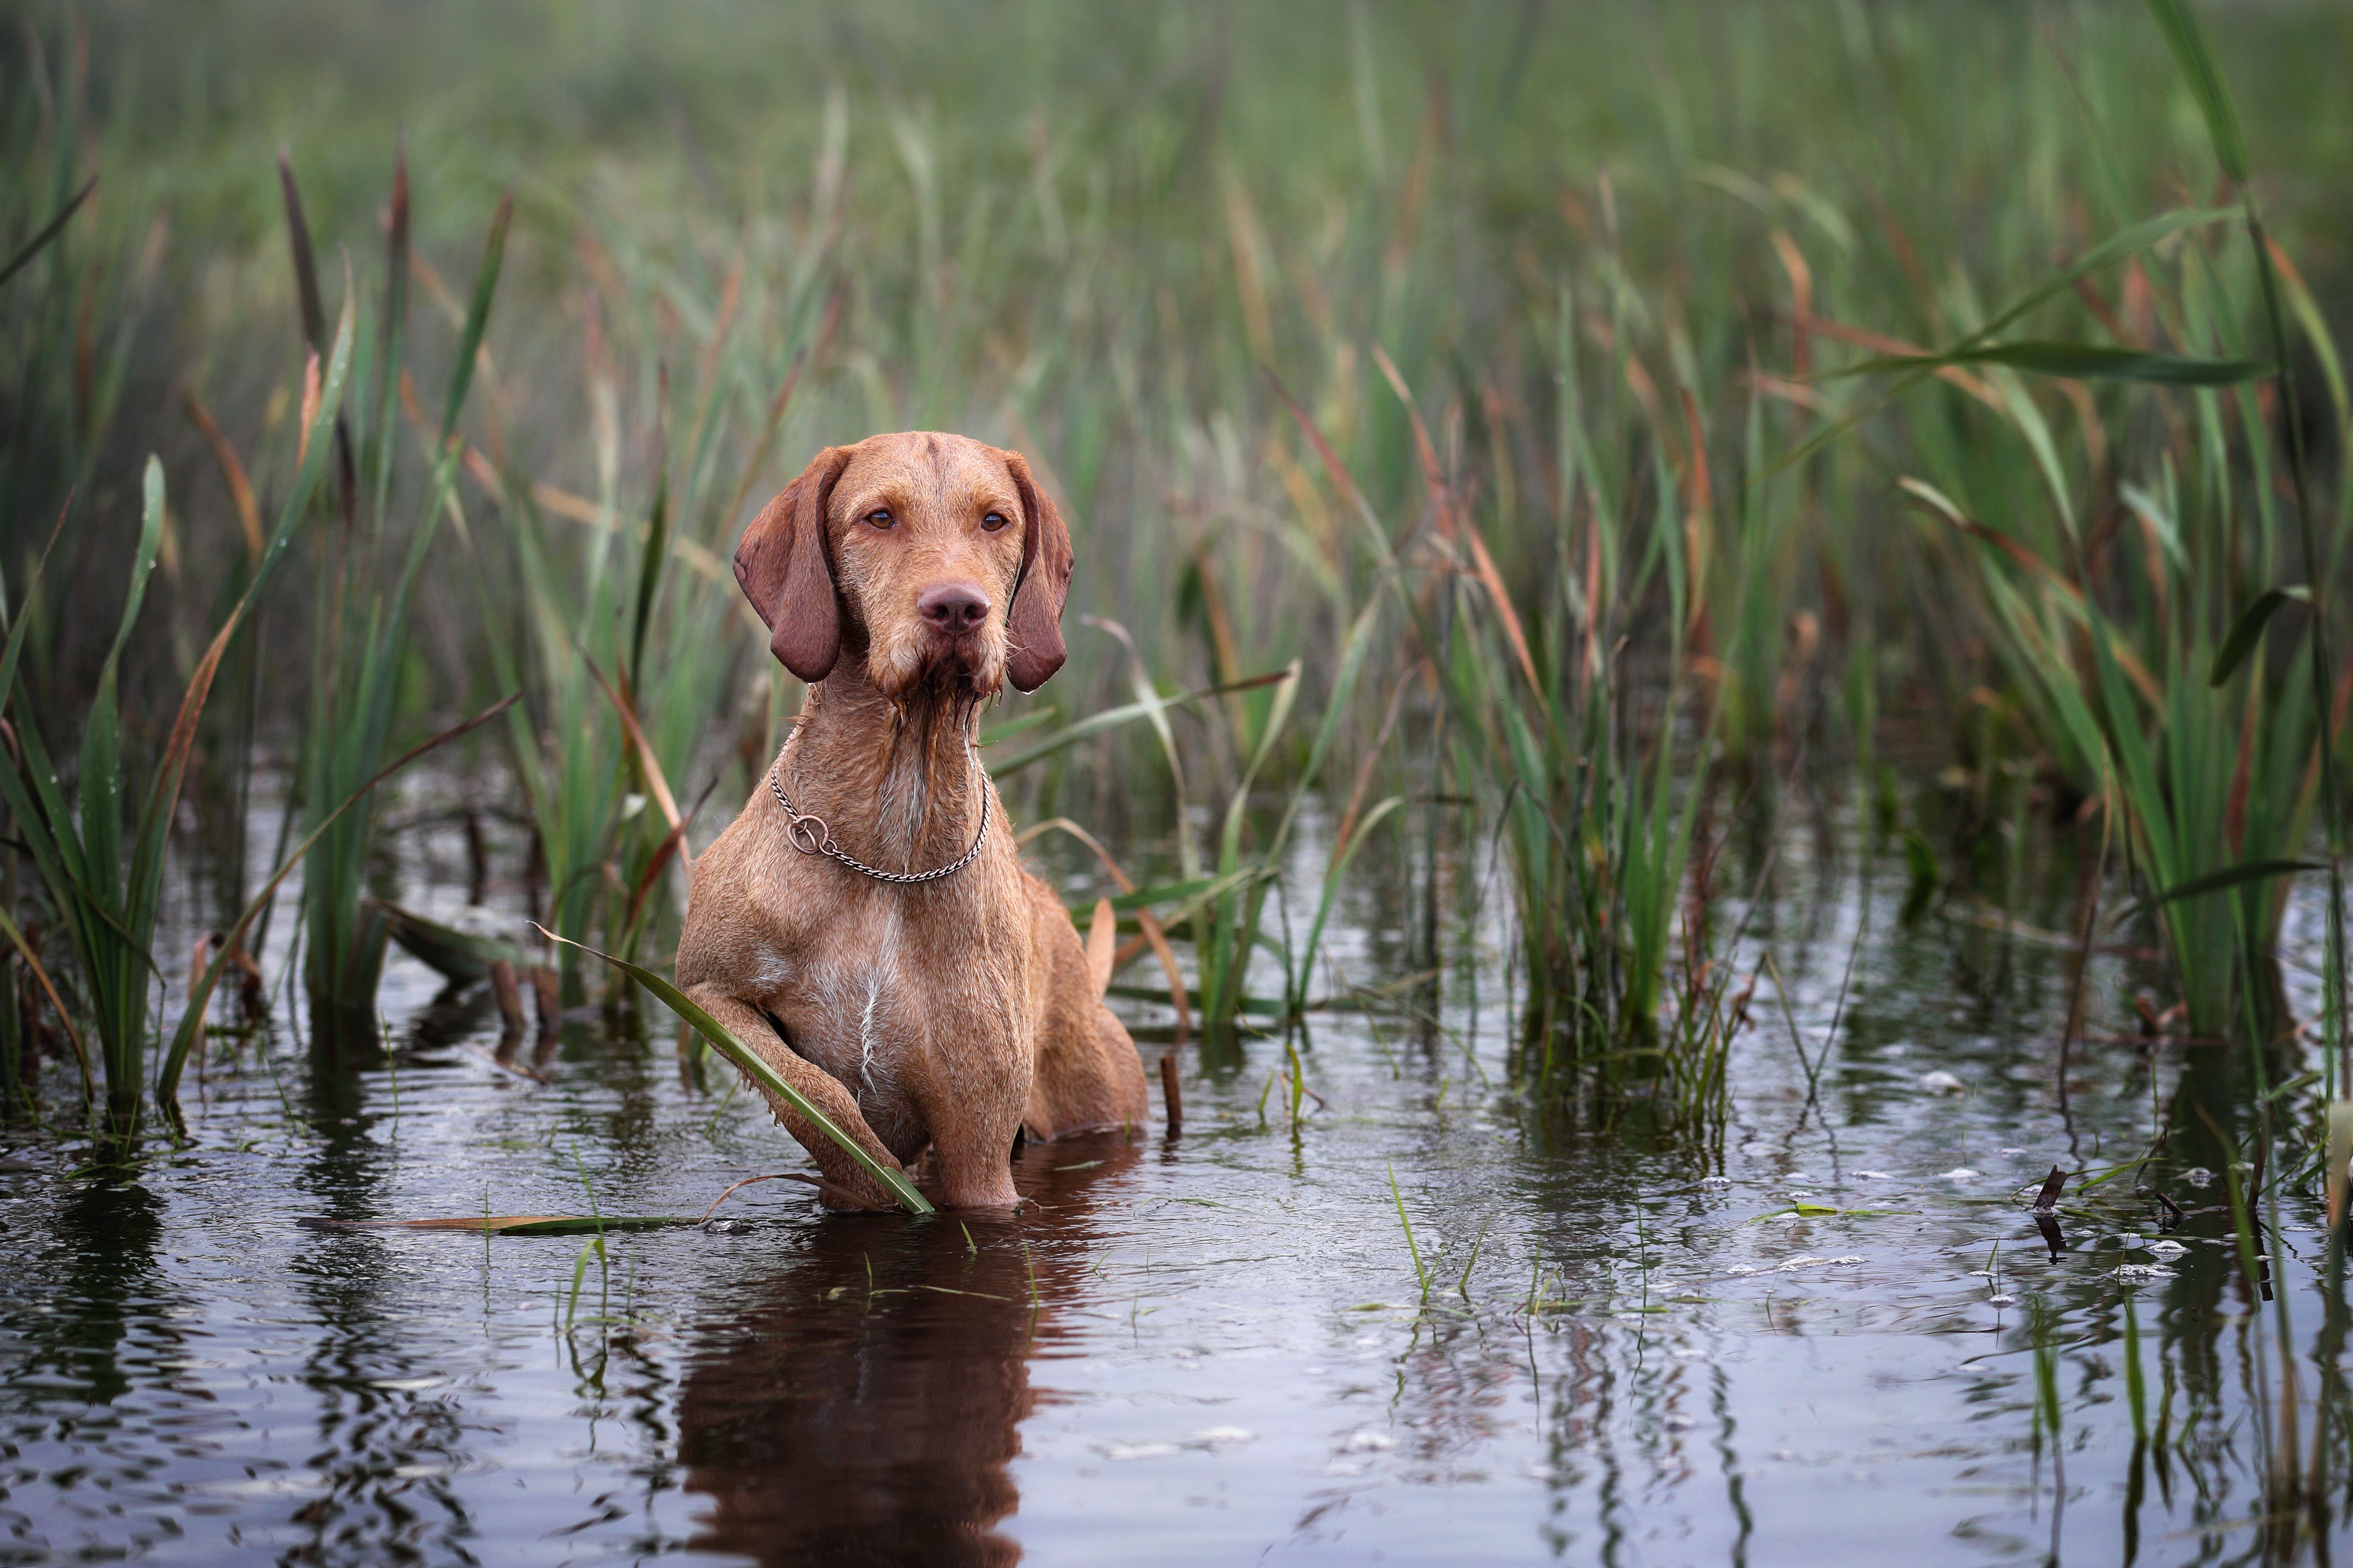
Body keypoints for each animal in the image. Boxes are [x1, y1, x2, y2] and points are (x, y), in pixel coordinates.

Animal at [673, 434, 1148, 1213]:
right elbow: (819, 1098)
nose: (957, 607)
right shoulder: (708, 992)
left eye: (994, 520)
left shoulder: (979, 1152)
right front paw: (868, 1173)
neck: (892, 842)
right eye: (879, 518)